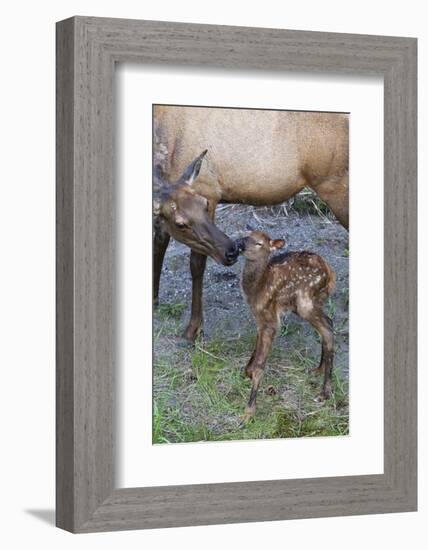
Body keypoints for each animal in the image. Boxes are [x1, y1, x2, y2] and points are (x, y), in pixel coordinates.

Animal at [154, 105, 348, 342]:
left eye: (204, 204)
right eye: (180, 223)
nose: (232, 251)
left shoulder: (208, 189)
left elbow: (196, 264)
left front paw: (193, 329)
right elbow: (159, 243)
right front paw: (154, 301)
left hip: (335, 186)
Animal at [236, 231, 336, 424]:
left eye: (259, 243)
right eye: (246, 235)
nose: (239, 244)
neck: (256, 288)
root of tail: (330, 273)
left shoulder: (270, 319)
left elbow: (260, 365)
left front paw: (248, 413)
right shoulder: (260, 320)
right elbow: (255, 350)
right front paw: (247, 372)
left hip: (305, 302)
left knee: (328, 330)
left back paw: (324, 393)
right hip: (309, 303)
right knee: (328, 324)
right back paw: (318, 369)